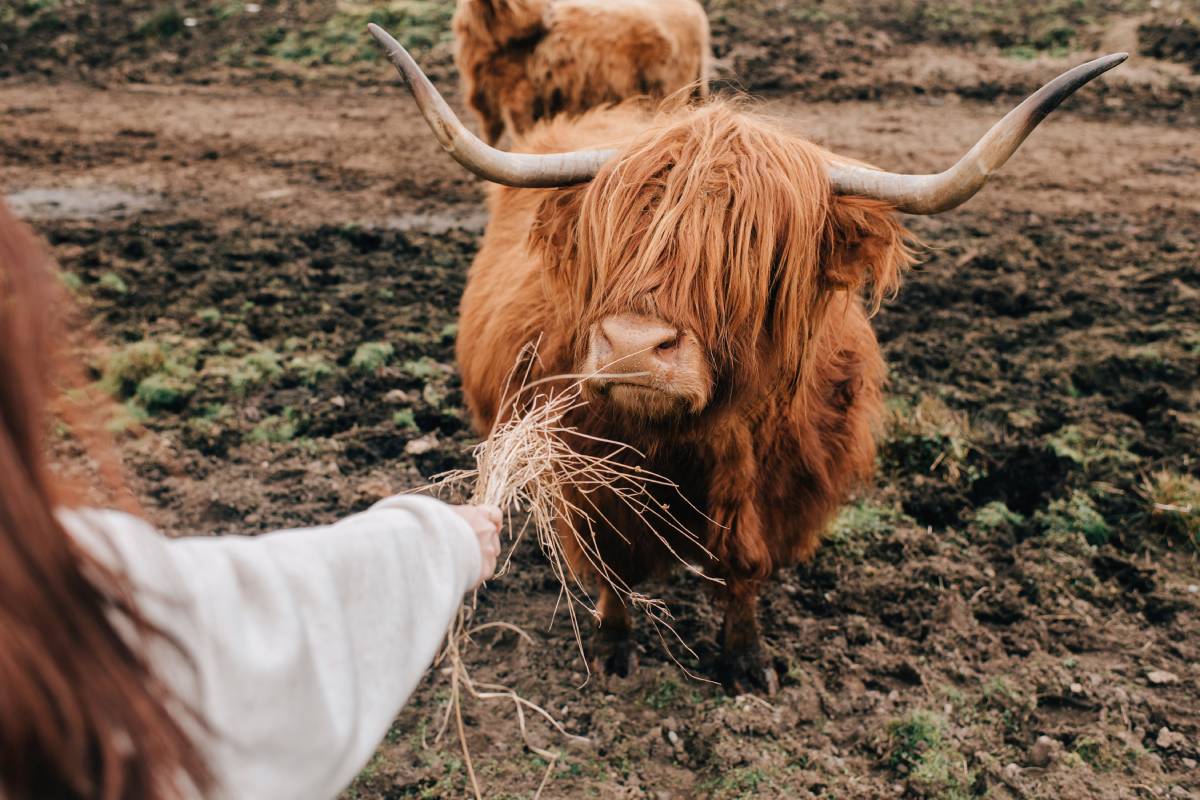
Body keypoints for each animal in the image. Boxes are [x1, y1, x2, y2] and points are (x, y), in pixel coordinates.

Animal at [369, 21, 1128, 690]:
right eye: (611, 235)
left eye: (751, 250)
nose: (634, 348)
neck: (688, 441)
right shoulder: (586, 472)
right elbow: (613, 561)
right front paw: (613, 652)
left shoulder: (778, 483)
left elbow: (744, 563)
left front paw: (746, 661)